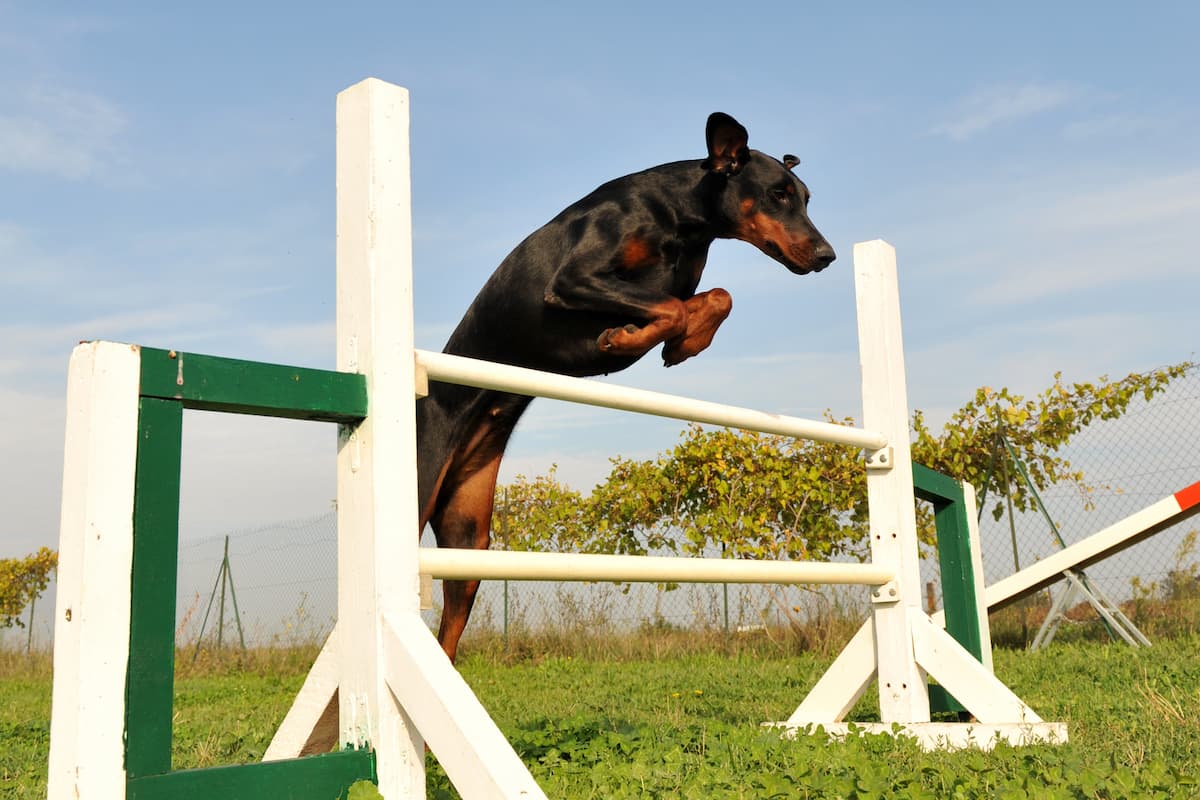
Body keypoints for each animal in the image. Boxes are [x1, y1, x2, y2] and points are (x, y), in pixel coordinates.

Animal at [422, 113, 835, 662]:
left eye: (806, 198)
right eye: (777, 194)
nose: (828, 255)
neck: (677, 216)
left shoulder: (676, 283)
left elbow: (714, 297)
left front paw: (682, 343)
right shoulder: (574, 279)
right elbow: (671, 308)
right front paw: (623, 340)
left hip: (467, 530)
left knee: (450, 622)